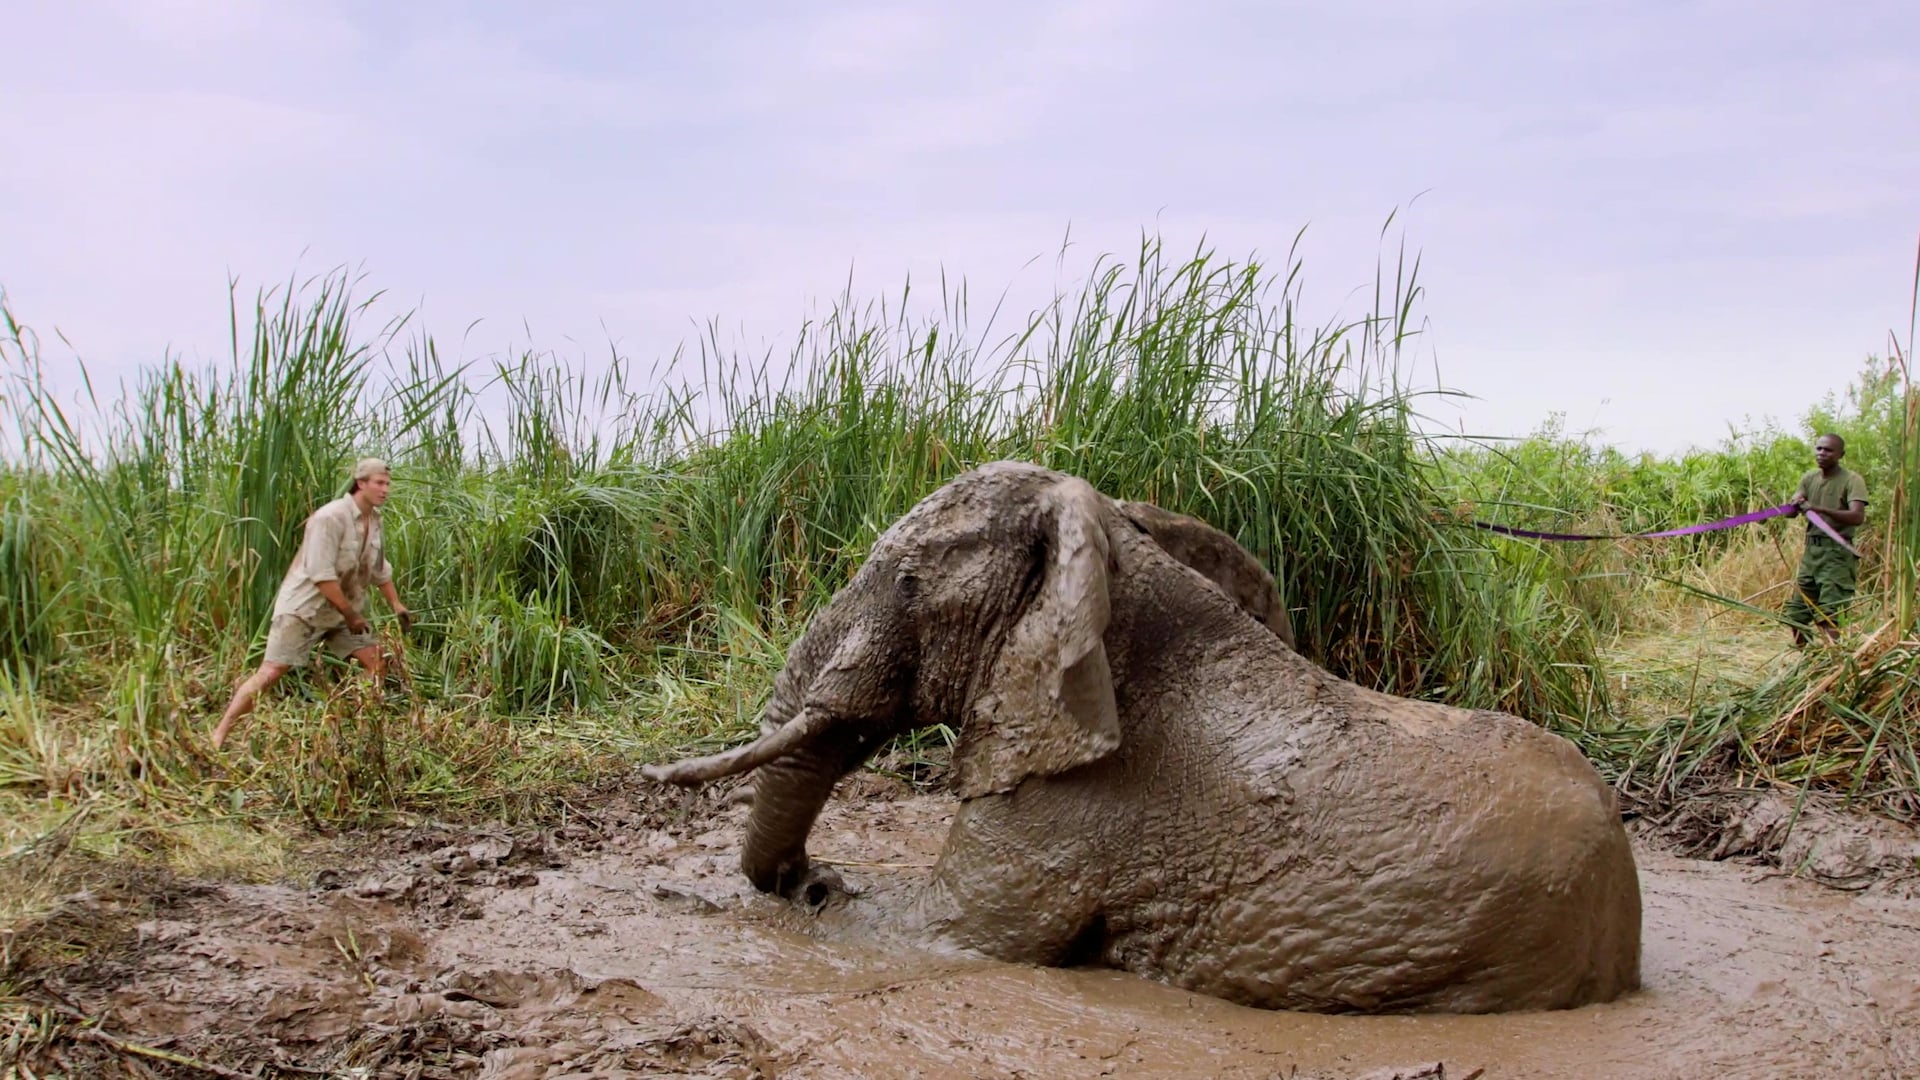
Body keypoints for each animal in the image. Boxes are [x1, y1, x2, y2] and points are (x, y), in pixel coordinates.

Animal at [643, 460, 1642, 1014]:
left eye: (907, 584)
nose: (809, 874)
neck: (1112, 560)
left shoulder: (1071, 811)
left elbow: (930, 936)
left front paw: (823, 903)